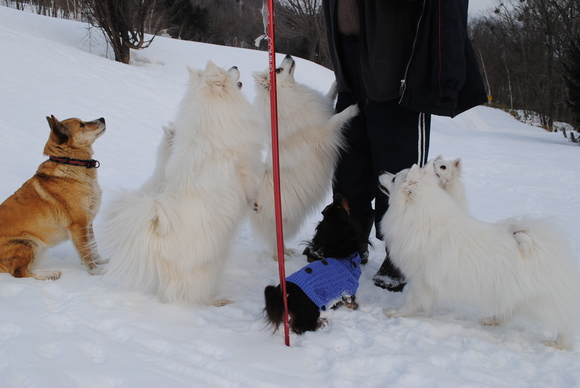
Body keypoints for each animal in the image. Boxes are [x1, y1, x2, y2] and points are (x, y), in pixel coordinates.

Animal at [0, 114, 106, 278]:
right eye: (82, 125)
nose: (102, 118)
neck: (71, 163)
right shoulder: (78, 224)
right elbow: (86, 251)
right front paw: (96, 271)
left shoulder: (88, 222)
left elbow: (93, 246)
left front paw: (102, 262)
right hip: (28, 243)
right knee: (21, 273)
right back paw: (50, 274)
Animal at [99, 62, 262, 306]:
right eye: (226, 71)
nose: (235, 65)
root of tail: (158, 246)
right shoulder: (244, 168)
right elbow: (255, 182)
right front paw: (257, 200)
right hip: (210, 266)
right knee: (190, 296)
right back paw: (217, 301)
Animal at [250, 54, 358, 260]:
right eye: (278, 70)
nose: (288, 55)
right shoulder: (323, 134)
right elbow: (335, 119)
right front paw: (352, 110)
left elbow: (329, 96)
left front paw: (336, 82)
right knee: (273, 242)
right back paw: (280, 257)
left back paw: (287, 251)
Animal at [264, 194, 370, 334]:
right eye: (337, 207)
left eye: (326, 209)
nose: (338, 195)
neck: (339, 251)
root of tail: (282, 296)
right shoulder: (349, 287)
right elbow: (350, 300)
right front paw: (354, 306)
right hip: (310, 309)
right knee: (301, 327)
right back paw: (322, 322)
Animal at [378, 162, 576, 350]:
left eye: (394, 178)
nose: (380, 171)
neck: (422, 221)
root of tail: (541, 243)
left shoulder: (420, 279)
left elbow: (410, 300)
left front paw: (396, 313)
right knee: (510, 310)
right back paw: (492, 320)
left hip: (544, 301)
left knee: (565, 322)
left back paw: (559, 344)